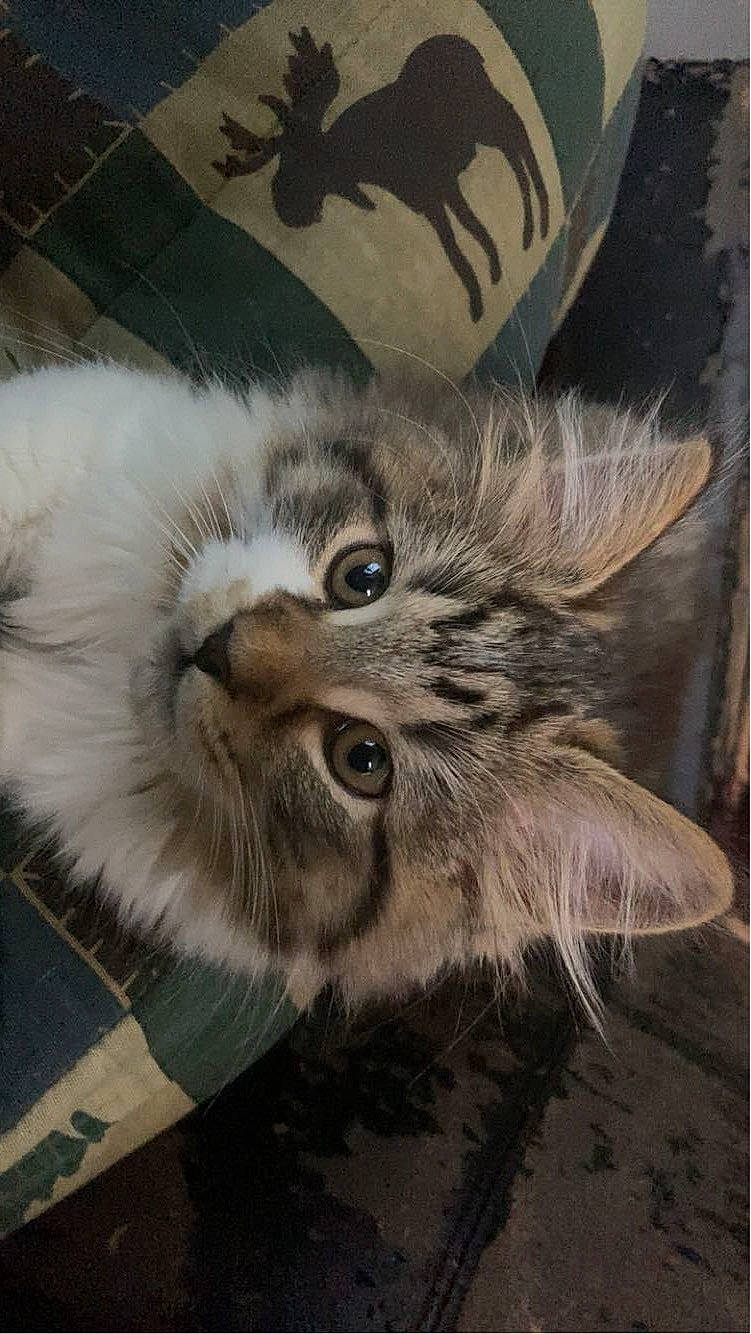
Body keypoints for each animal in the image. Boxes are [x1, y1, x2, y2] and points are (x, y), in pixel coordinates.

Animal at [213, 28, 550, 323]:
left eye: (300, 161)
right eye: (280, 162)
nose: (287, 212)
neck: (370, 166)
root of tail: (466, 45)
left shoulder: (437, 187)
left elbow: (460, 239)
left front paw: (480, 298)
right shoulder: (430, 196)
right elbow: (462, 236)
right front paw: (493, 273)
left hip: (490, 118)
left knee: (524, 148)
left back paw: (541, 221)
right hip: (488, 129)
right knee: (517, 160)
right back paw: (531, 230)